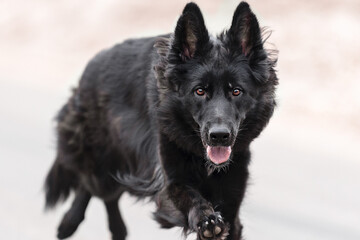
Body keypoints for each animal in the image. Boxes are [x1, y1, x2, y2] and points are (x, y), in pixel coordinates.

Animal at [43, 2, 278, 240]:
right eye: (200, 91)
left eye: (236, 91)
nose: (219, 136)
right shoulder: (169, 182)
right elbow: (190, 196)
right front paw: (207, 219)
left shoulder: (231, 202)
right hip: (102, 155)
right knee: (94, 185)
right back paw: (70, 222)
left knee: (106, 192)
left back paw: (115, 229)